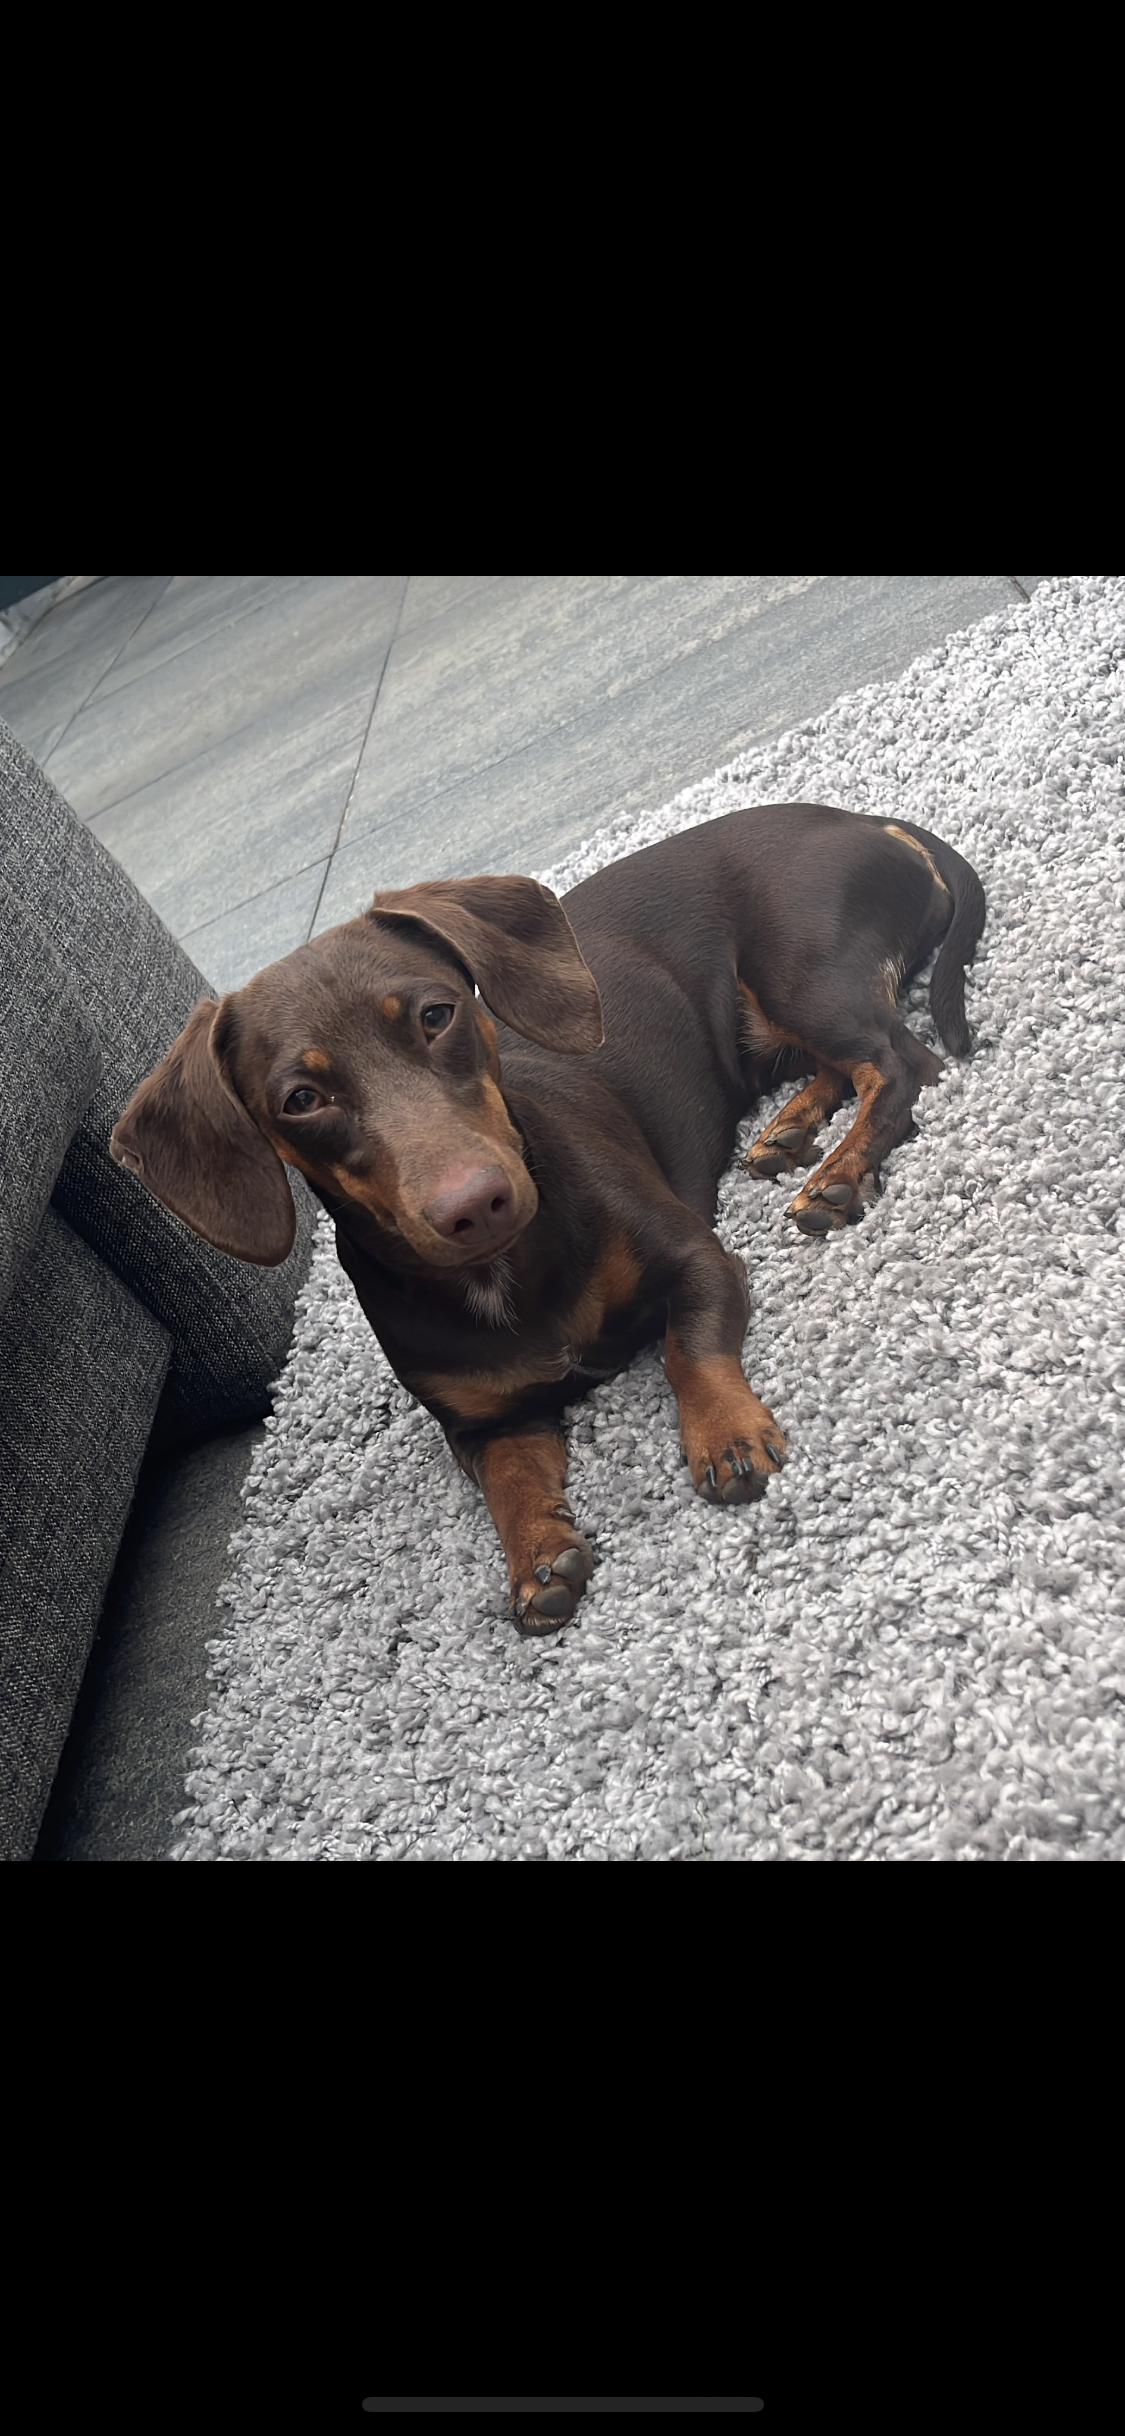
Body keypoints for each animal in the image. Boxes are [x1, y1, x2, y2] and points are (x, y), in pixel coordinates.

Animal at [111, 804, 985, 1632]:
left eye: (436, 1015)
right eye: (300, 1099)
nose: (473, 1204)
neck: (509, 1274)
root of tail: (857, 819)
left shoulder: (697, 1259)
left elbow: (687, 1348)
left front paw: (725, 1437)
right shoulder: (482, 1424)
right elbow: (509, 1481)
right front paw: (537, 1557)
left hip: (801, 974)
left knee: (899, 1064)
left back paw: (838, 1174)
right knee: (839, 1067)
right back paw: (788, 1133)